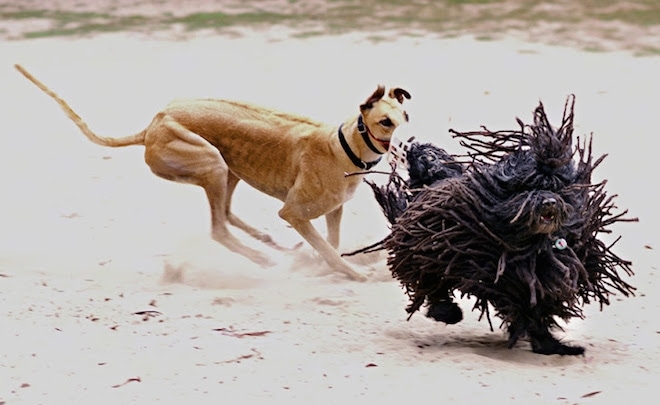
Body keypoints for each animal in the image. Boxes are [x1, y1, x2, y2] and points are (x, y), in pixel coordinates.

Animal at [14, 65, 408, 280]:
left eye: (405, 116)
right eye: (384, 121)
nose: (405, 148)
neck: (343, 145)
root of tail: (151, 126)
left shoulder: (333, 209)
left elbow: (331, 243)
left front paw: (308, 260)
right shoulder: (294, 212)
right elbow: (328, 249)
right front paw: (354, 273)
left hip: (228, 168)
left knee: (228, 213)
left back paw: (269, 243)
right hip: (212, 163)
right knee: (219, 228)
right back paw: (263, 257)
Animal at [358, 96, 636, 356]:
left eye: (556, 186)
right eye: (528, 186)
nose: (548, 202)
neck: (531, 243)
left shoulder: (544, 276)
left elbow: (538, 309)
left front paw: (551, 344)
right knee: (432, 283)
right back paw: (447, 311)